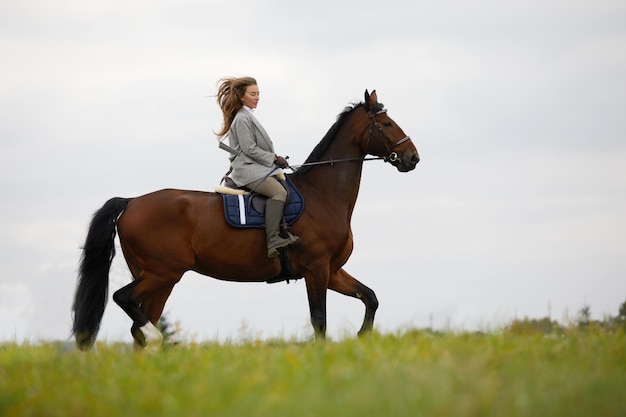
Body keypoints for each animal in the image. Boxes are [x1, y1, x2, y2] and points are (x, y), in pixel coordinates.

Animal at [70, 90, 416, 348]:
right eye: (387, 123)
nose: (413, 157)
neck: (323, 195)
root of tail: (131, 202)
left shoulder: (332, 271)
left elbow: (370, 297)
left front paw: (363, 336)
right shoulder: (316, 270)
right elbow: (319, 322)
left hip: (159, 278)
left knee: (140, 326)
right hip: (162, 273)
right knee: (125, 301)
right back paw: (156, 340)